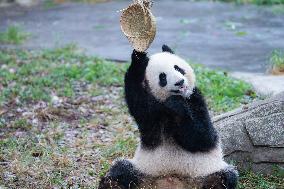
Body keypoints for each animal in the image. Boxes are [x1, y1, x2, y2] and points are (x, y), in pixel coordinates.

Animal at [98, 45, 239, 188]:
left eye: (178, 68)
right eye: (163, 77)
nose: (180, 82)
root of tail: (171, 181)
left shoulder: (195, 99)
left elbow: (204, 138)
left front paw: (178, 106)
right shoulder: (151, 113)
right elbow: (137, 100)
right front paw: (138, 59)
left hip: (205, 171)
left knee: (225, 177)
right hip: (143, 169)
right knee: (121, 170)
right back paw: (111, 184)